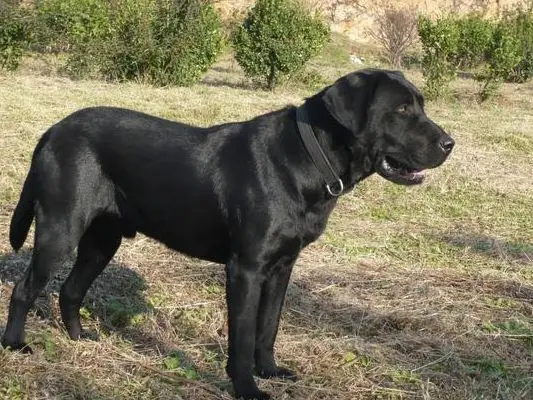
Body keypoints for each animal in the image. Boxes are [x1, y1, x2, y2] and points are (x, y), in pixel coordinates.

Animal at [3, 69, 454, 400]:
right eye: (401, 109)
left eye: (420, 105)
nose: (450, 143)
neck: (308, 157)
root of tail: (53, 130)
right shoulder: (246, 268)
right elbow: (242, 333)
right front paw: (247, 389)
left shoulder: (282, 267)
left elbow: (268, 327)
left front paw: (269, 371)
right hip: (60, 229)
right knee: (26, 288)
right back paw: (15, 344)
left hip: (103, 240)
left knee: (71, 290)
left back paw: (81, 339)